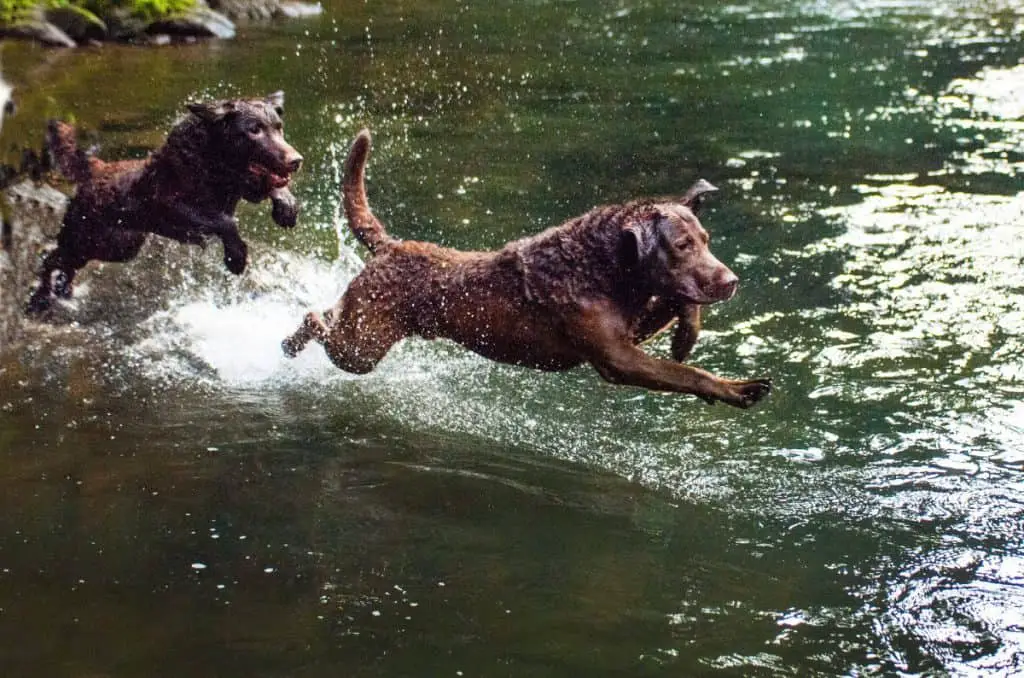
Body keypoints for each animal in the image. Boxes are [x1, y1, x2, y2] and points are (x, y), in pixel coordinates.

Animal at [25, 91, 301, 315]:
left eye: (279, 127)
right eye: (254, 130)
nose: (296, 160)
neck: (212, 161)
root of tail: (95, 168)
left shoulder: (245, 186)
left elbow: (272, 187)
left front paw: (286, 209)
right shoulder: (172, 207)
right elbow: (225, 222)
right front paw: (236, 257)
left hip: (120, 245)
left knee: (64, 264)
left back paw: (62, 291)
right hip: (87, 239)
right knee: (52, 259)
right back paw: (40, 299)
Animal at [284, 130, 770, 411]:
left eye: (706, 240)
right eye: (682, 246)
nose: (732, 281)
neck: (600, 265)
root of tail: (391, 245)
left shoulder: (631, 328)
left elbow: (675, 303)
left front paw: (687, 335)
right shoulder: (617, 359)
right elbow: (687, 375)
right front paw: (738, 388)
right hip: (361, 347)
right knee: (319, 319)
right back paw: (293, 339)